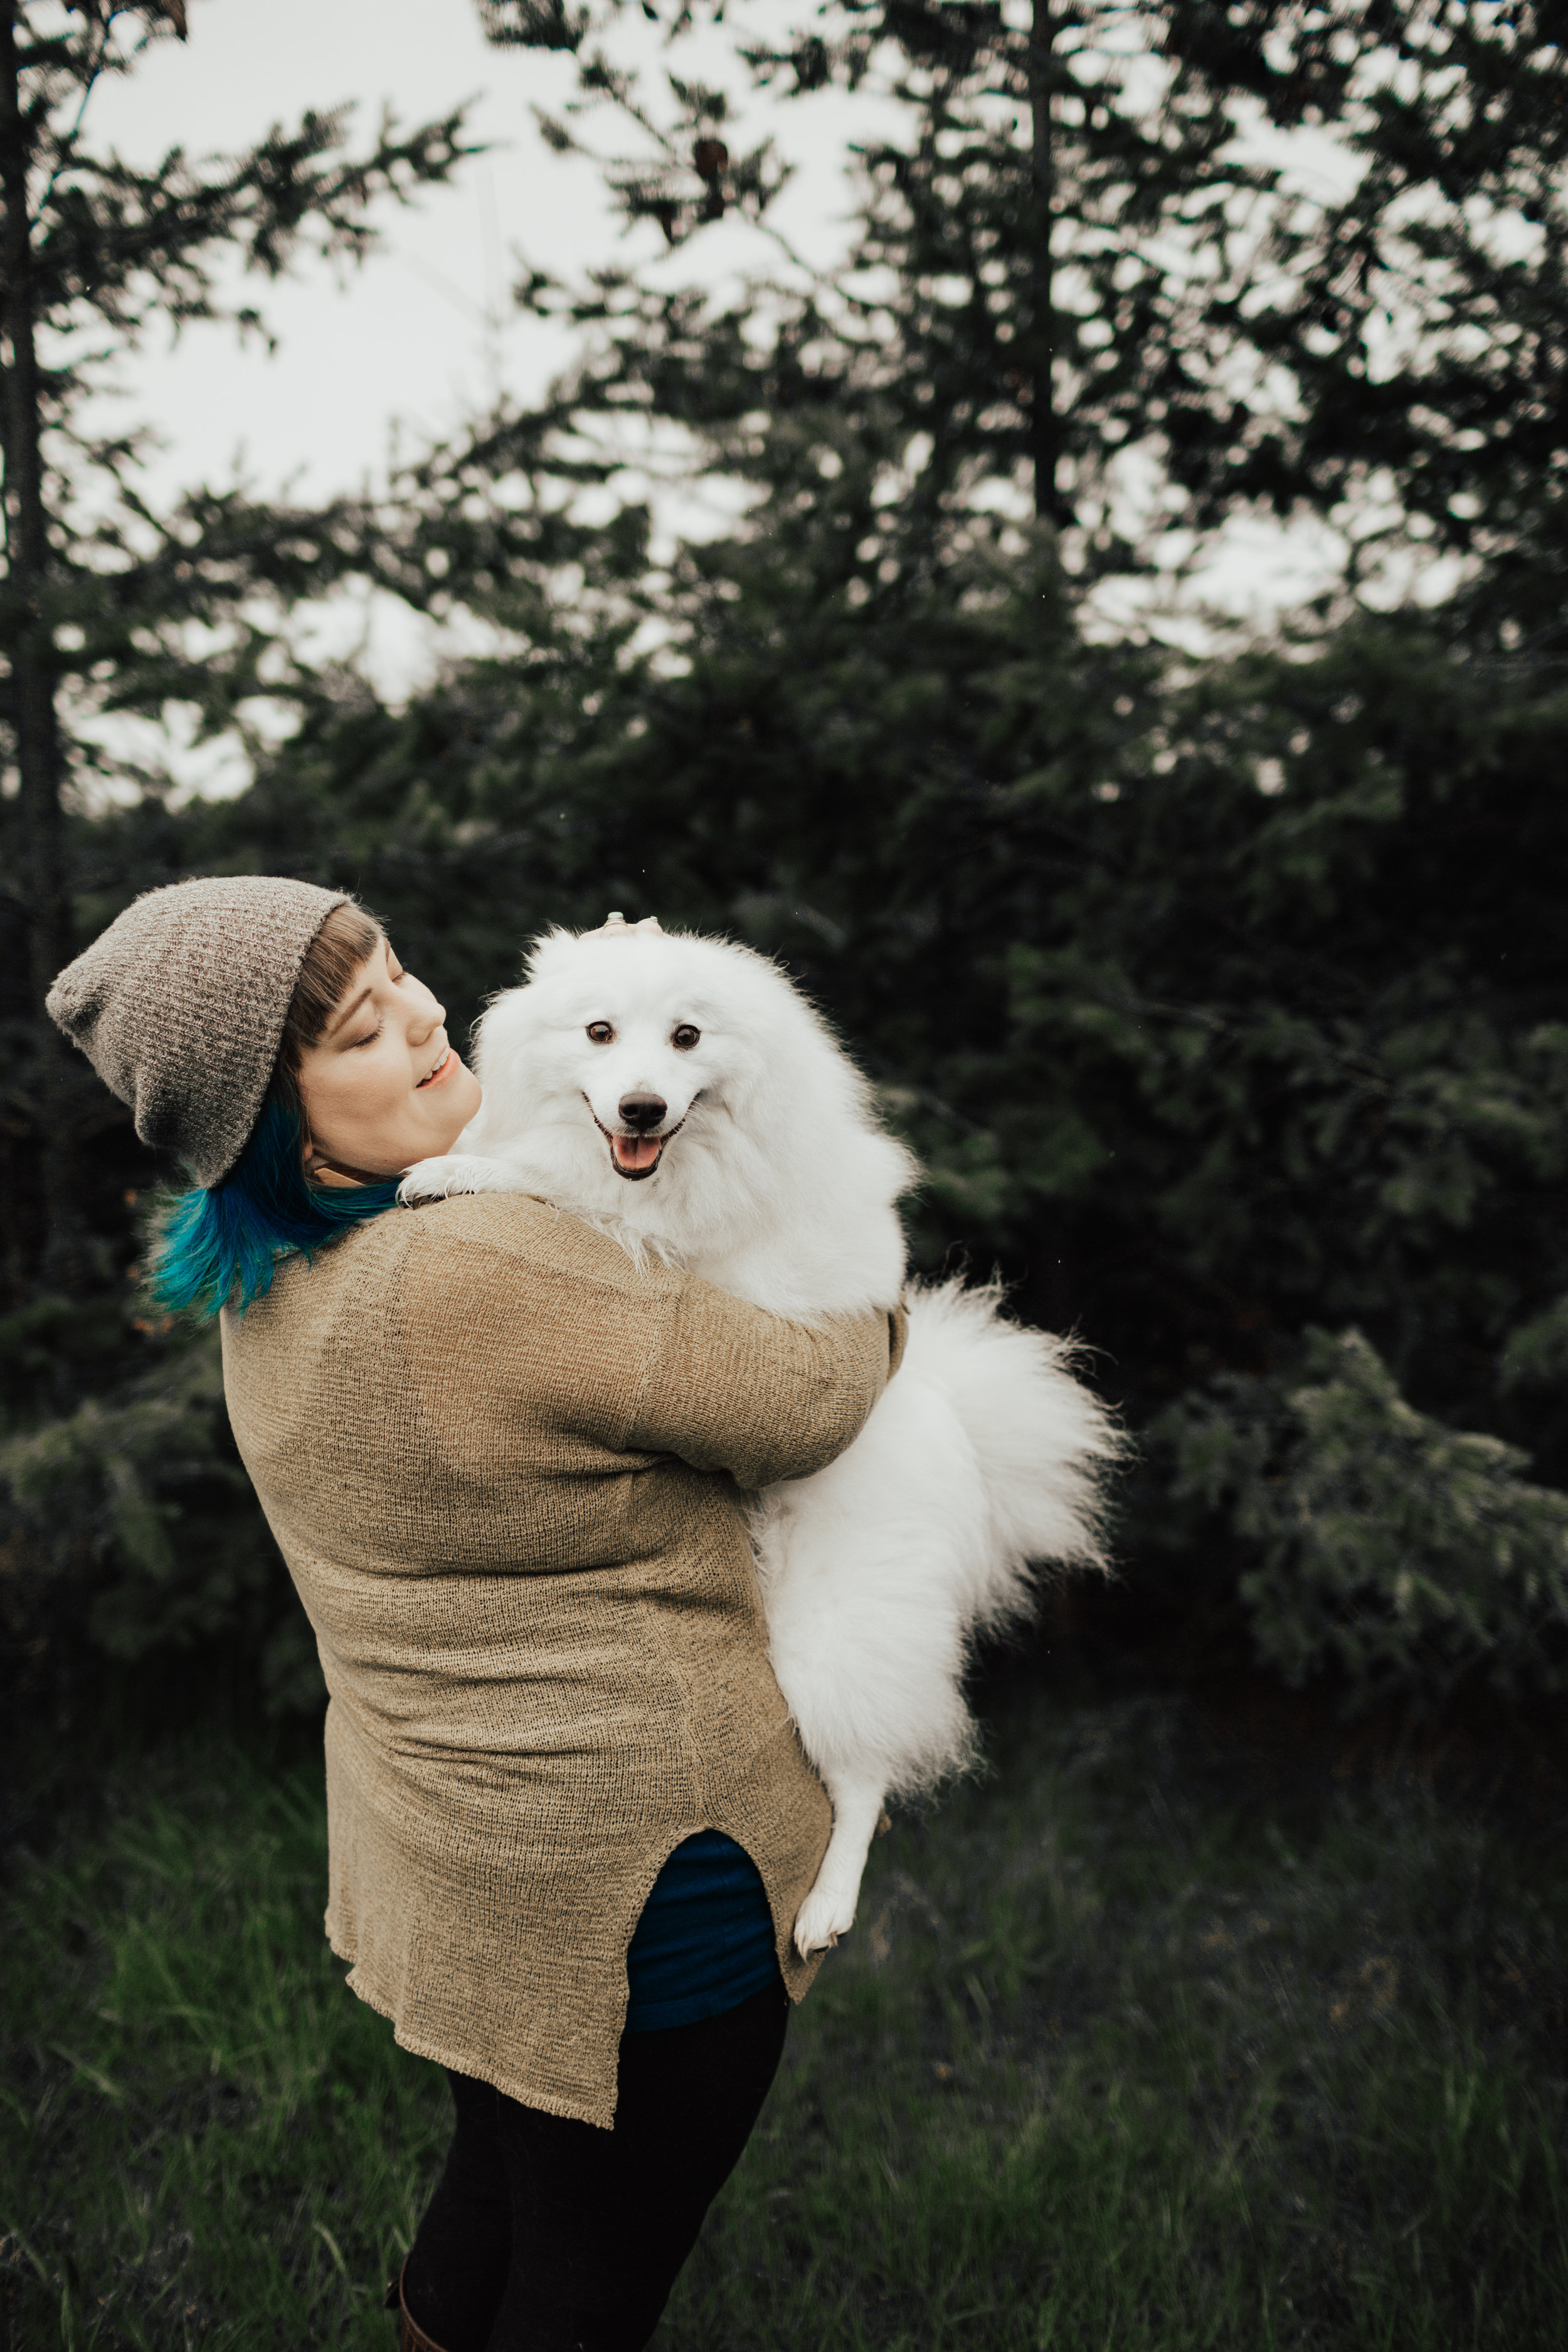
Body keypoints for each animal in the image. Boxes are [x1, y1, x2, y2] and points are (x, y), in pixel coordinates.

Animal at [401, 908, 1114, 1957]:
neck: (673, 1168)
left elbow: (557, 1183)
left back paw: (826, 1910)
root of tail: (961, 1430)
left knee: (864, 1780)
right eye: (600, 1033)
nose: (643, 1108)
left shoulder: (686, 1245)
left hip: (831, 1637)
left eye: (688, 1037)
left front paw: (457, 1167)